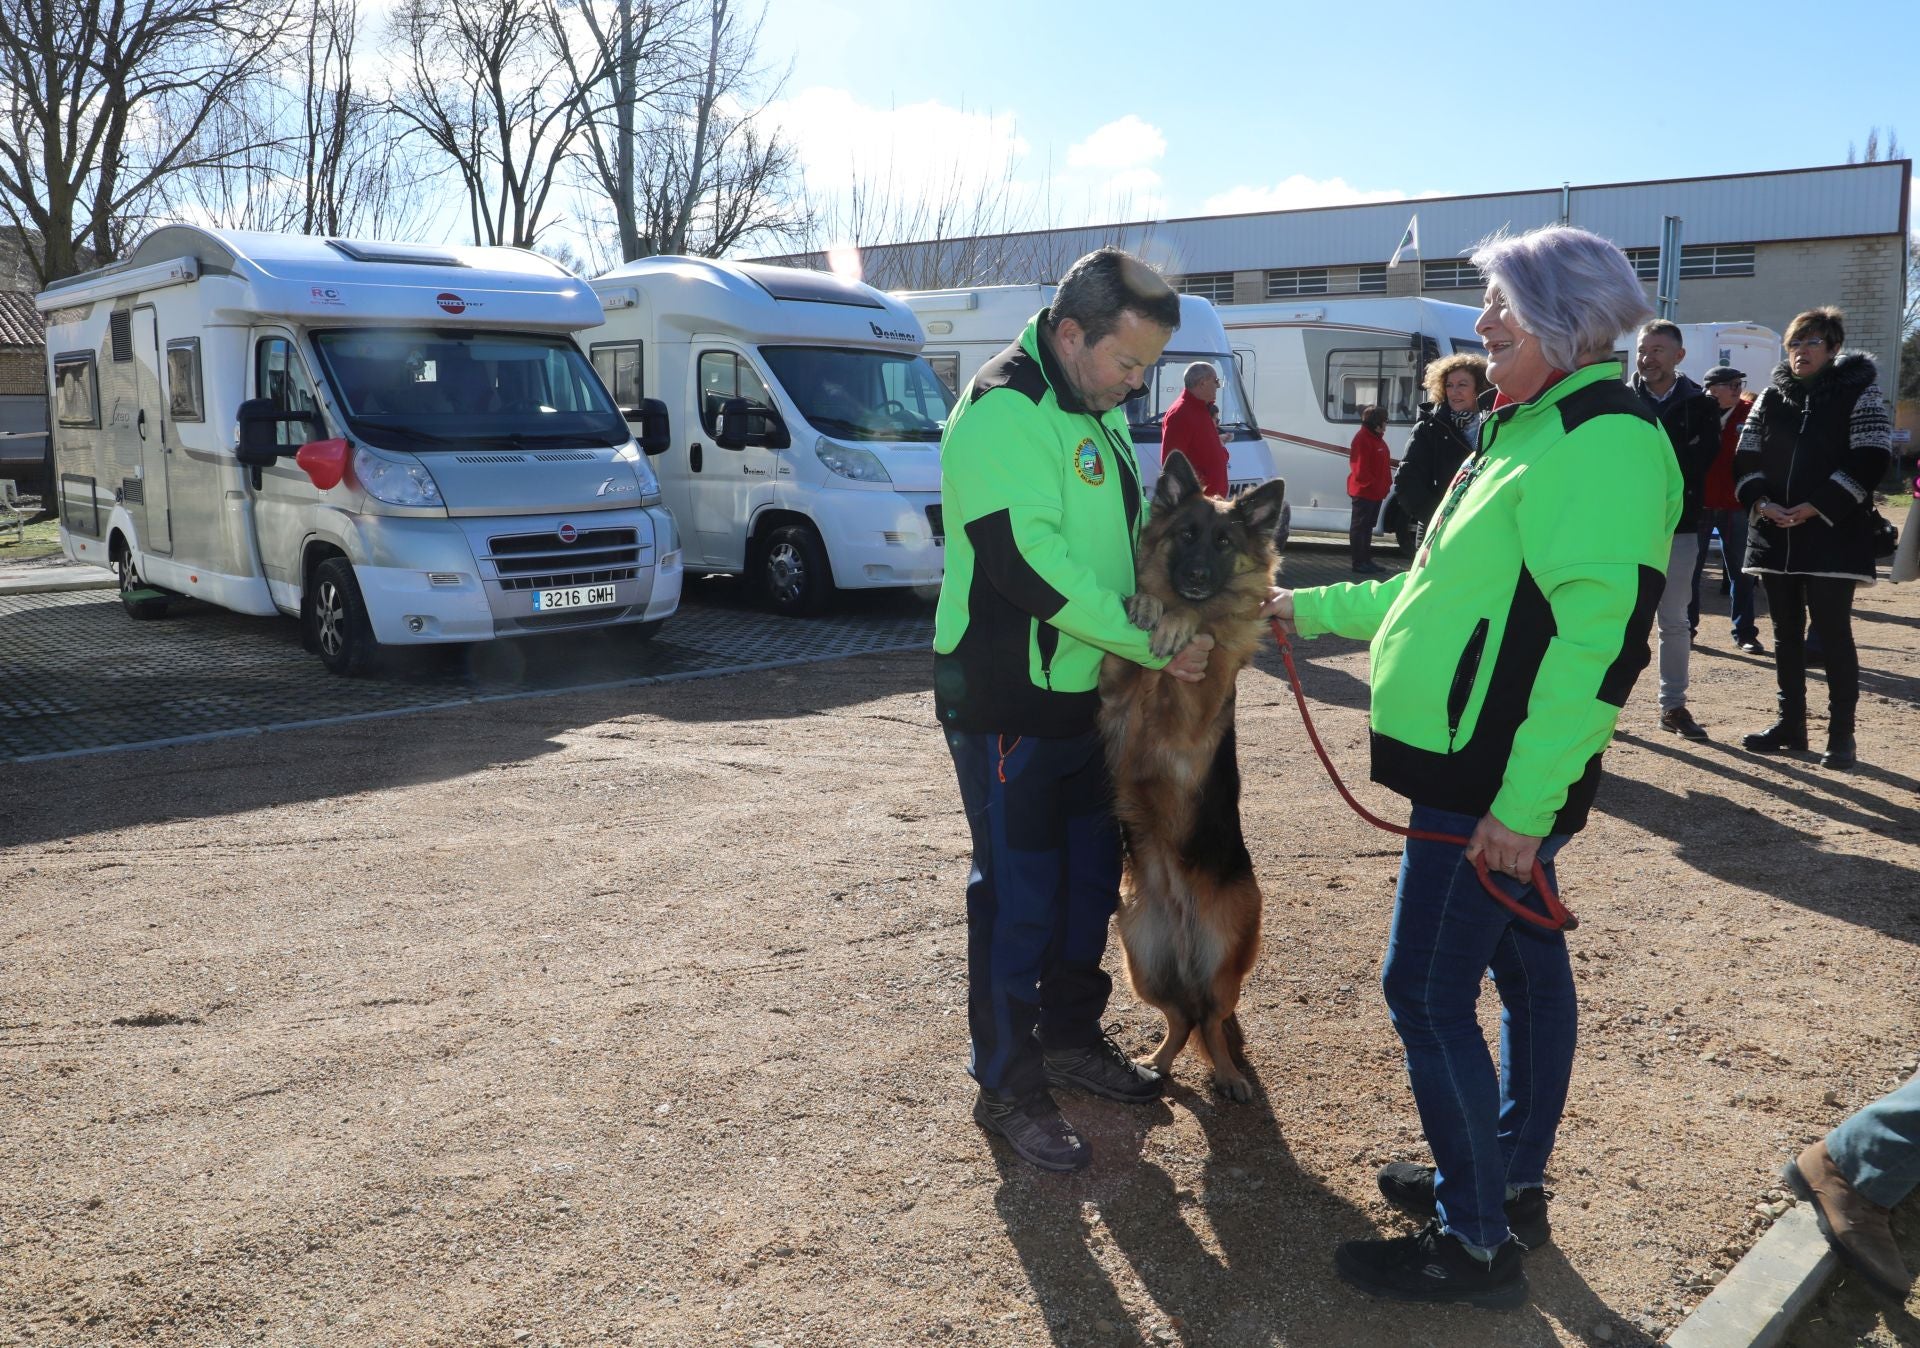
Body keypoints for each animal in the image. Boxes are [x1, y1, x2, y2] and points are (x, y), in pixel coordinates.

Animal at [1105, 453, 1282, 1098]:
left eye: (1223, 541)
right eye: (1186, 535)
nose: (1199, 574)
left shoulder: (1194, 710)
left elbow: (1200, 630)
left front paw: (1180, 620)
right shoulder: (1116, 696)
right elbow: (1133, 646)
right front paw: (1149, 606)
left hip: (1227, 960)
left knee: (1212, 1018)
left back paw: (1229, 1076)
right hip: (1140, 956)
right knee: (1183, 1018)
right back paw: (1154, 1064)